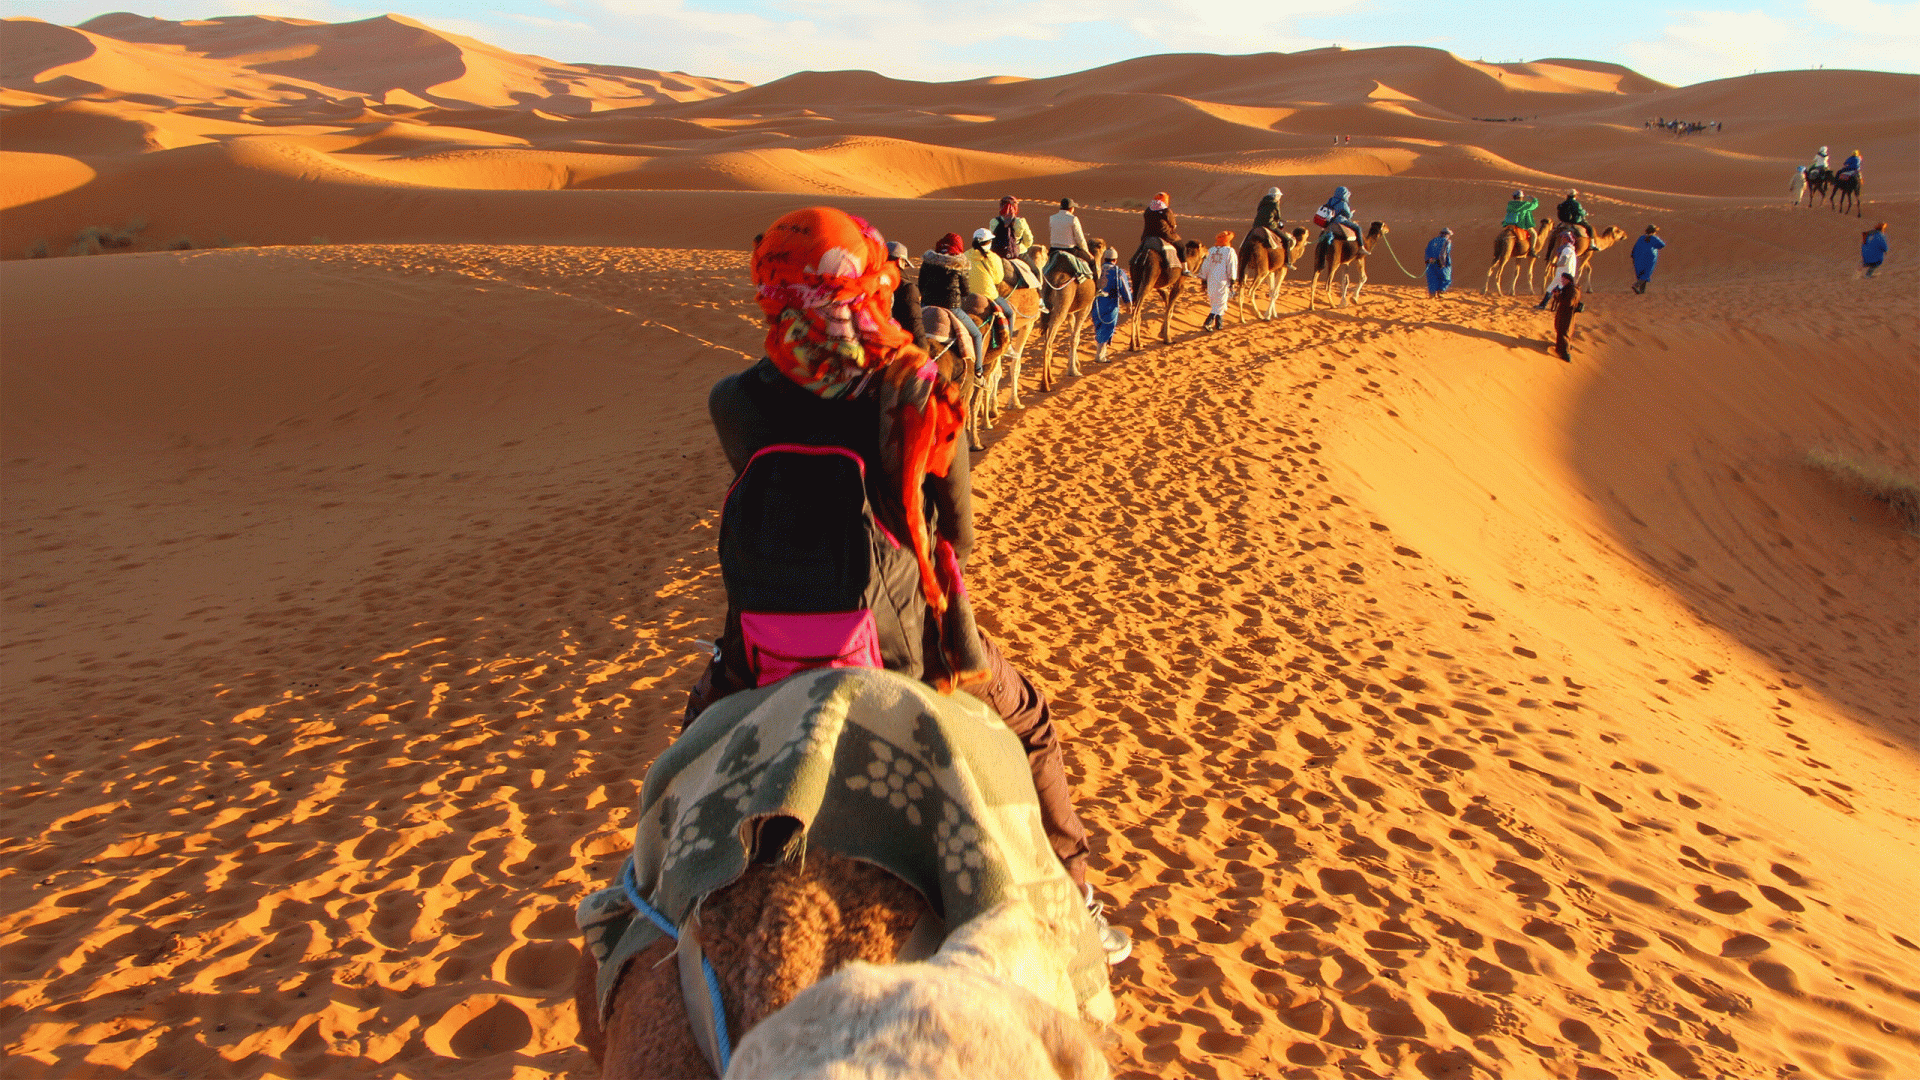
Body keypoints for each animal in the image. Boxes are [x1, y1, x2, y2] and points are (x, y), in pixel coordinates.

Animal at [1029, 239, 1121, 399]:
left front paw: (1074, 365)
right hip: (1060, 308)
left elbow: (1071, 333)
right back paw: (1045, 385)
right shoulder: (1085, 308)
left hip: (1050, 311)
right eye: (1101, 245)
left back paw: (1050, 378)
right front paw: (1074, 371)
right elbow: (1075, 337)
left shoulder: (1071, 312)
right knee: (1048, 344)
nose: (1108, 246)